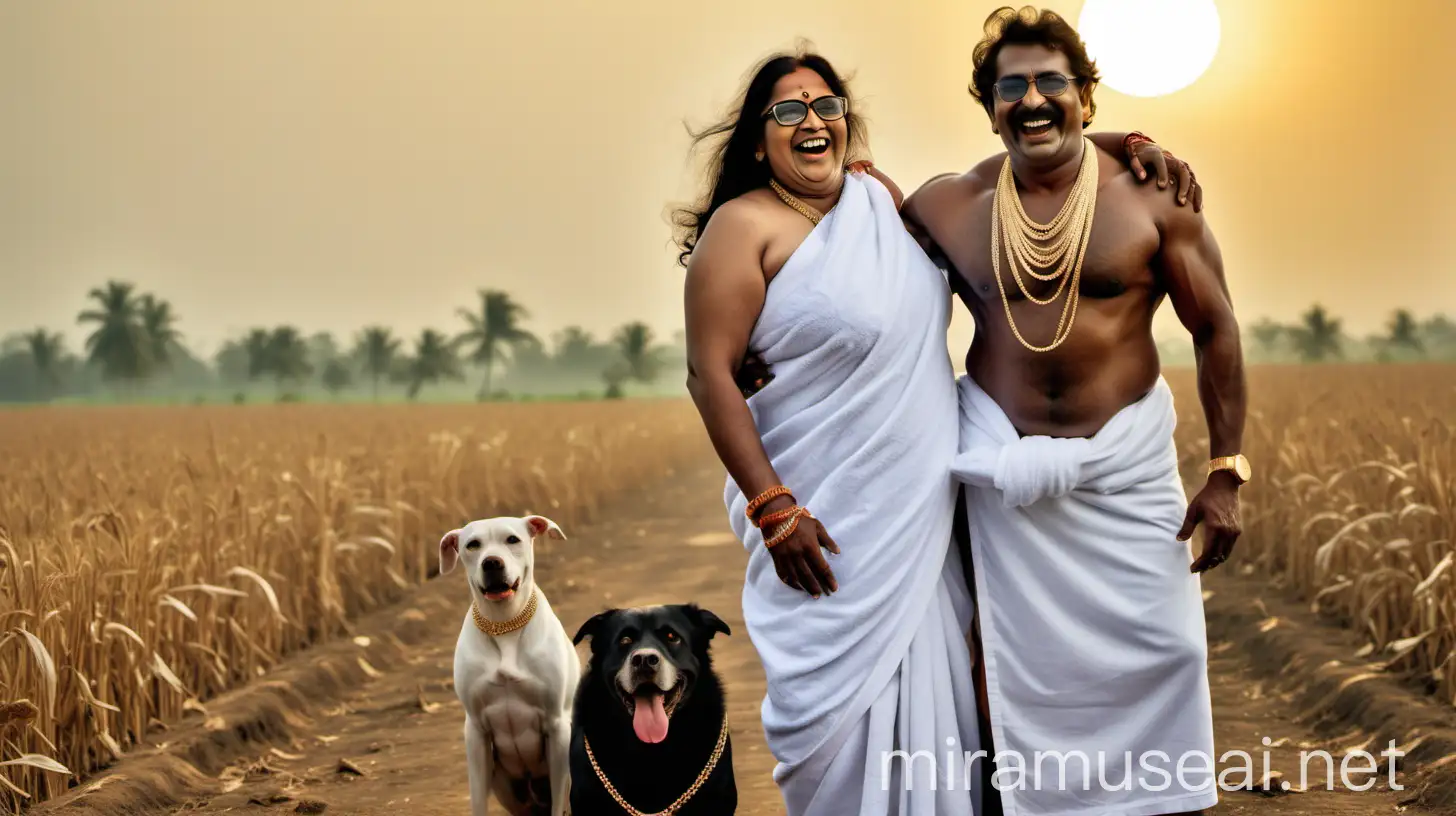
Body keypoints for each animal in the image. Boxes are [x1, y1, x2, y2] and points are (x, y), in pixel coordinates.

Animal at [436, 515, 579, 816]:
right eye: (472, 544)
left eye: (512, 539)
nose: (492, 562)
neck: (505, 624)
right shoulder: (476, 730)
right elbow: (478, 800)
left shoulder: (557, 724)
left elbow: (559, 802)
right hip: (508, 788)